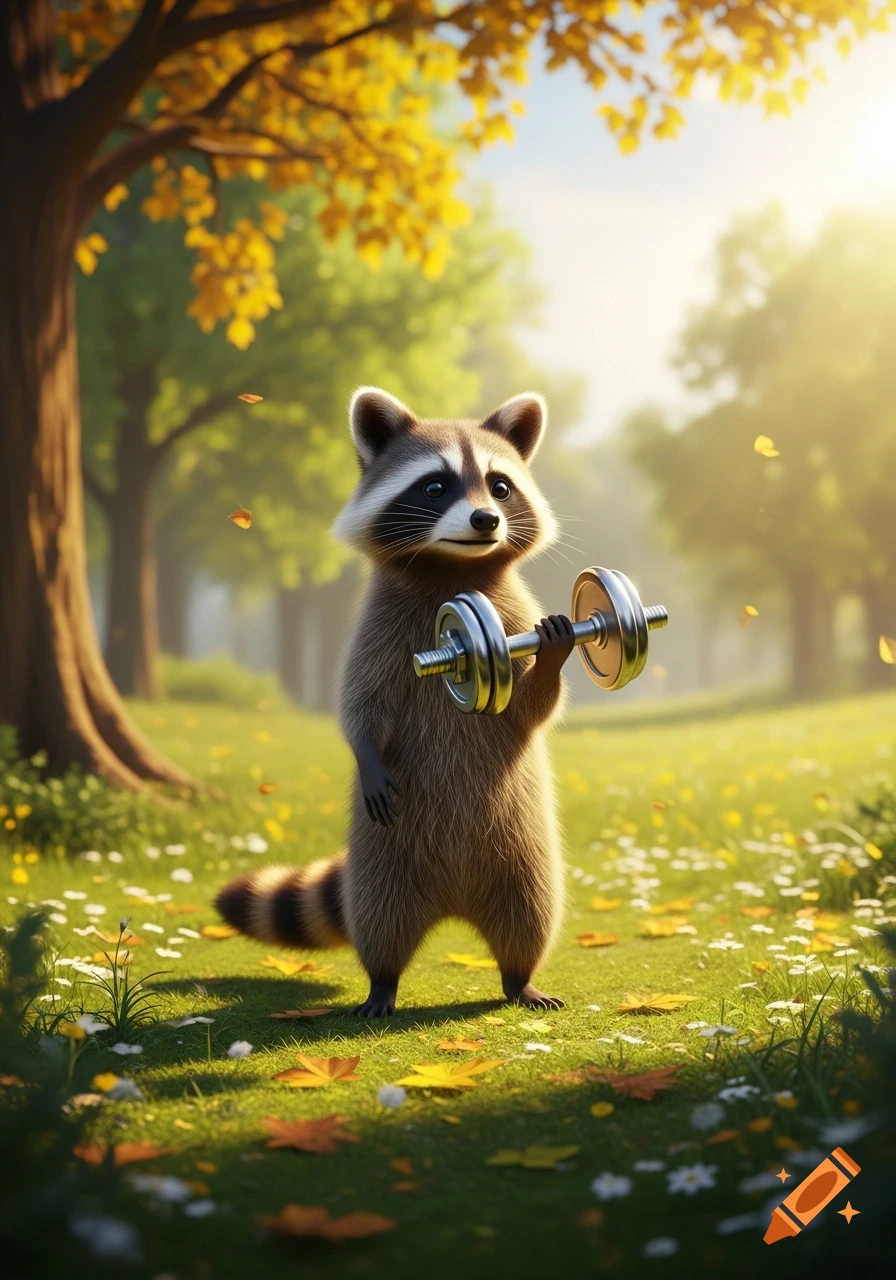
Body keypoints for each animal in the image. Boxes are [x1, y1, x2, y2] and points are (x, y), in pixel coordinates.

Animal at [216, 387, 578, 1014]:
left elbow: (531, 710)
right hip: (386, 855)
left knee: (530, 911)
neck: (451, 566)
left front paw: (554, 653)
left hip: (520, 848)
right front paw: (363, 749)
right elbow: (357, 703)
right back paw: (382, 981)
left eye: (500, 486)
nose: (486, 519)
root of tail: (454, 901)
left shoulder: (512, 612)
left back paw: (519, 977)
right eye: (434, 486)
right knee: (380, 916)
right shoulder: (378, 627)